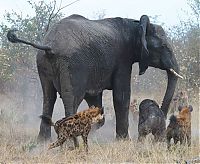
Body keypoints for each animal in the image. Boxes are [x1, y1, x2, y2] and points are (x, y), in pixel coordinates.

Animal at [7, 14, 183, 142]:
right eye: (163, 47)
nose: (161, 114)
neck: (135, 24)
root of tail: (50, 45)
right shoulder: (122, 60)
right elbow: (121, 96)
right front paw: (123, 141)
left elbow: (94, 99)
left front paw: (92, 129)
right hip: (72, 65)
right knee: (72, 100)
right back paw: (70, 143)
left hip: (43, 63)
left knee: (48, 98)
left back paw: (42, 142)